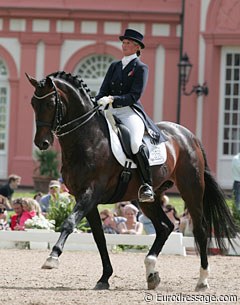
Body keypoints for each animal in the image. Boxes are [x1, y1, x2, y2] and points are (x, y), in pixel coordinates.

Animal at [25, 70, 237, 290]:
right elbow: (99, 238)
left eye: (50, 103)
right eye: (33, 103)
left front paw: (52, 257)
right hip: (148, 198)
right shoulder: (84, 198)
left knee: (201, 230)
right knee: (165, 227)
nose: (42, 142)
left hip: (191, 190)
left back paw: (202, 280)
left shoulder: (91, 193)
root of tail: (188, 135)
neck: (87, 140)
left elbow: (68, 222)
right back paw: (151, 272)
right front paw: (104, 277)